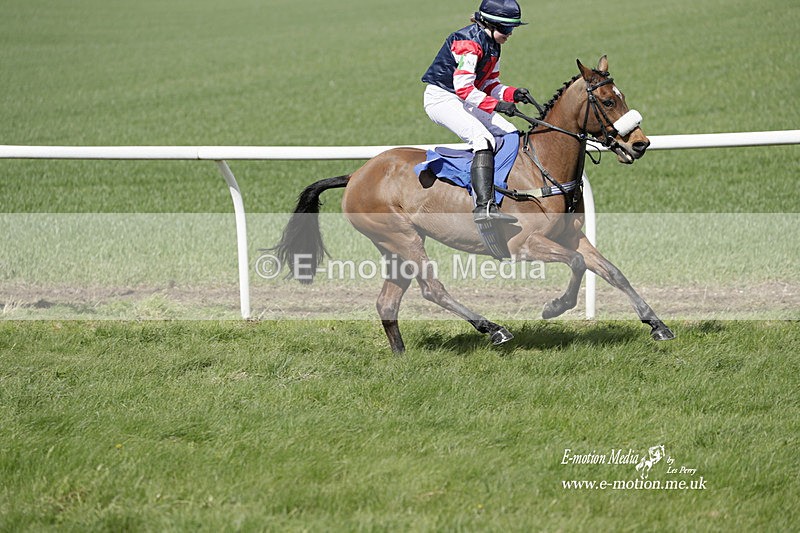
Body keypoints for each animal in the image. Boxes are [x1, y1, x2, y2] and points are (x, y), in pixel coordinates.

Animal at [271, 56, 675, 353]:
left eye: (622, 96)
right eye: (607, 101)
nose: (640, 144)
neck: (542, 167)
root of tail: (356, 174)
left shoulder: (572, 236)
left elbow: (612, 271)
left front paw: (657, 324)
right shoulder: (525, 245)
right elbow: (576, 264)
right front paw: (554, 307)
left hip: (395, 246)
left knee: (388, 302)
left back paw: (401, 356)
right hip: (402, 238)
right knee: (432, 289)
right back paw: (493, 328)